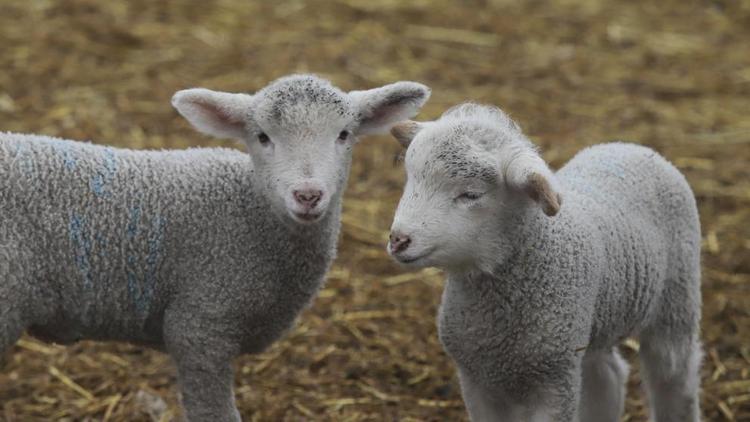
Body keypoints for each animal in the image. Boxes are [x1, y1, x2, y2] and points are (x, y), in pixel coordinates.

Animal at [388, 102, 704, 422]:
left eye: (471, 194)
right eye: (410, 179)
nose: (398, 239)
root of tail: (628, 146)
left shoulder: (554, 383)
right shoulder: (476, 380)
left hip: (676, 301)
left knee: (674, 377)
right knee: (607, 374)